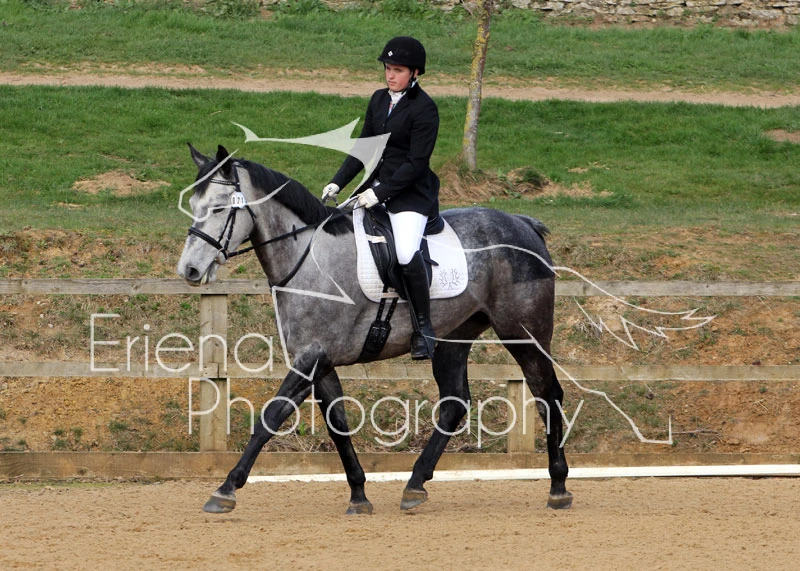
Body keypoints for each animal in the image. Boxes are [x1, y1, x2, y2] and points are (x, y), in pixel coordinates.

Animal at [177, 144, 572, 514]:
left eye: (218, 208)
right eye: (195, 204)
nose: (189, 271)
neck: (308, 260)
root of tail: (522, 223)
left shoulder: (309, 360)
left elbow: (270, 417)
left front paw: (226, 489)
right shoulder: (321, 362)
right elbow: (337, 424)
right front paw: (358, 495)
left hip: (524, 333)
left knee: (547, 393)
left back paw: (558, 486)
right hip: (452, 337)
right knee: (454, 403)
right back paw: (415, 484)